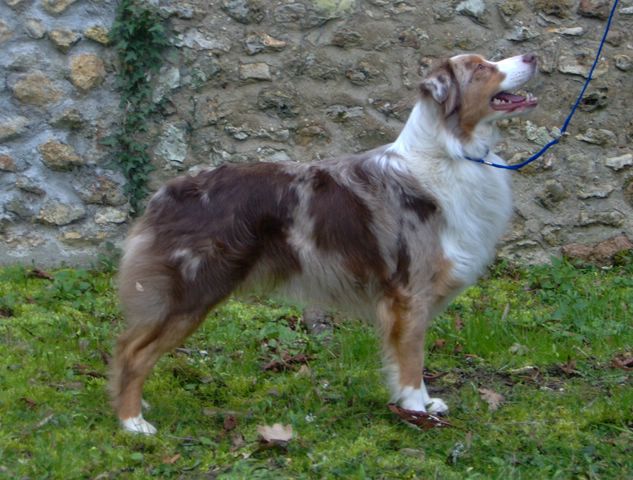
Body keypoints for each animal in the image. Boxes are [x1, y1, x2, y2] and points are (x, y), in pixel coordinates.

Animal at [111, 53, 536, 436]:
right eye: (480, 68)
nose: (532, 56)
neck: (450, 151)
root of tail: (169, 192)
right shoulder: (408, 292)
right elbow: (412, 359)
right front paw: (417, 410)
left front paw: (423, 404)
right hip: (194, 292)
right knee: (133, 351)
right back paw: (132, 422)